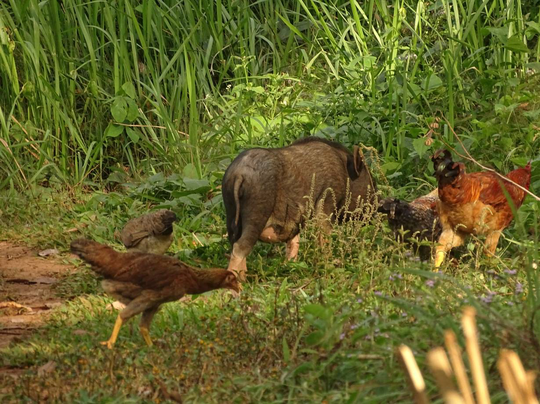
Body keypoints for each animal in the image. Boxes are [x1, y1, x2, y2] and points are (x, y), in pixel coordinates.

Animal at [221, 137, 378, 280]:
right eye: (371, 183)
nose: (378, 207)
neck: (345, 172)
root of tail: (238, 174)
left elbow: (293, 243)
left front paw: (290, 266)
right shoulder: (325, 203)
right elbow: (325, 236)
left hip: (231, 214)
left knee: (234, 244)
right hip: (257, 213)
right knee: (240, 248)